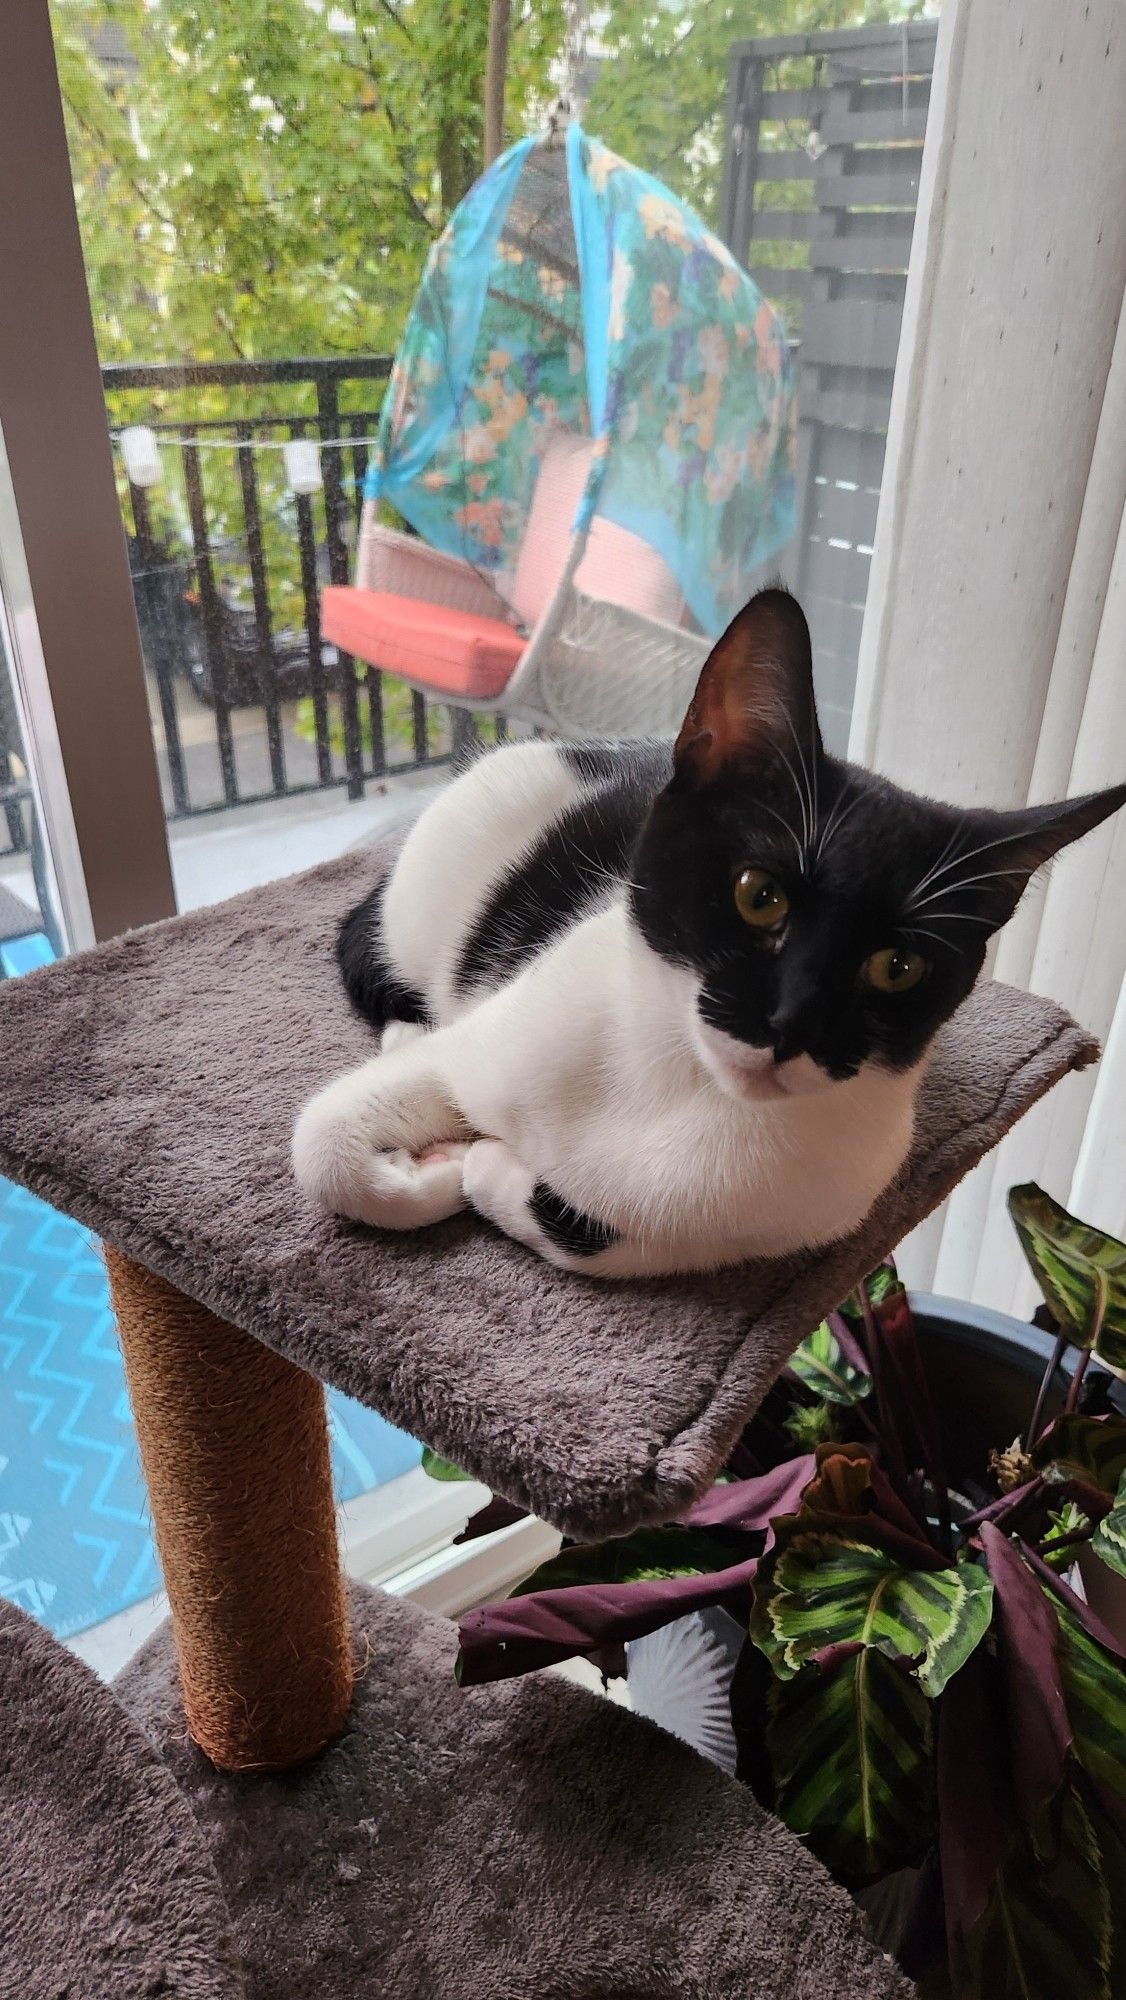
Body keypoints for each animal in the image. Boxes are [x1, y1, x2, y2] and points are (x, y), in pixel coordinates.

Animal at [294, 592, 1126, 1280]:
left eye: (898, 966)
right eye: (758, 896)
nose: (791, 1025)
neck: (687, 1091)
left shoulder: (798, 1218)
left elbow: (595, 1236)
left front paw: (477, 1168)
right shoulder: (496, 1042)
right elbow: (324, 1149)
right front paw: (432, 1173)